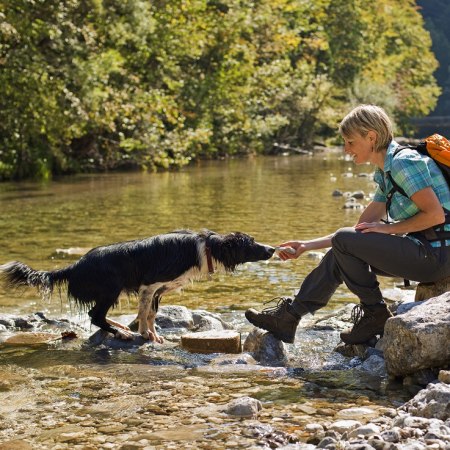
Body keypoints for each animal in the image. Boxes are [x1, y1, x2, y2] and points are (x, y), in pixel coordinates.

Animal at [0, 229, 274, 342]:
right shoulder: (150, 284)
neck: (204, 247)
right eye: (251, 243)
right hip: (111, 288)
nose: (272, 249)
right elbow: (144, 312)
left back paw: (120, 326)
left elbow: (151, 313)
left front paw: (153, 334)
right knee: (95, 315)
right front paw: (145, 335)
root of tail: (74, 266)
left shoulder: (158, 290)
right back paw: (121, 332)